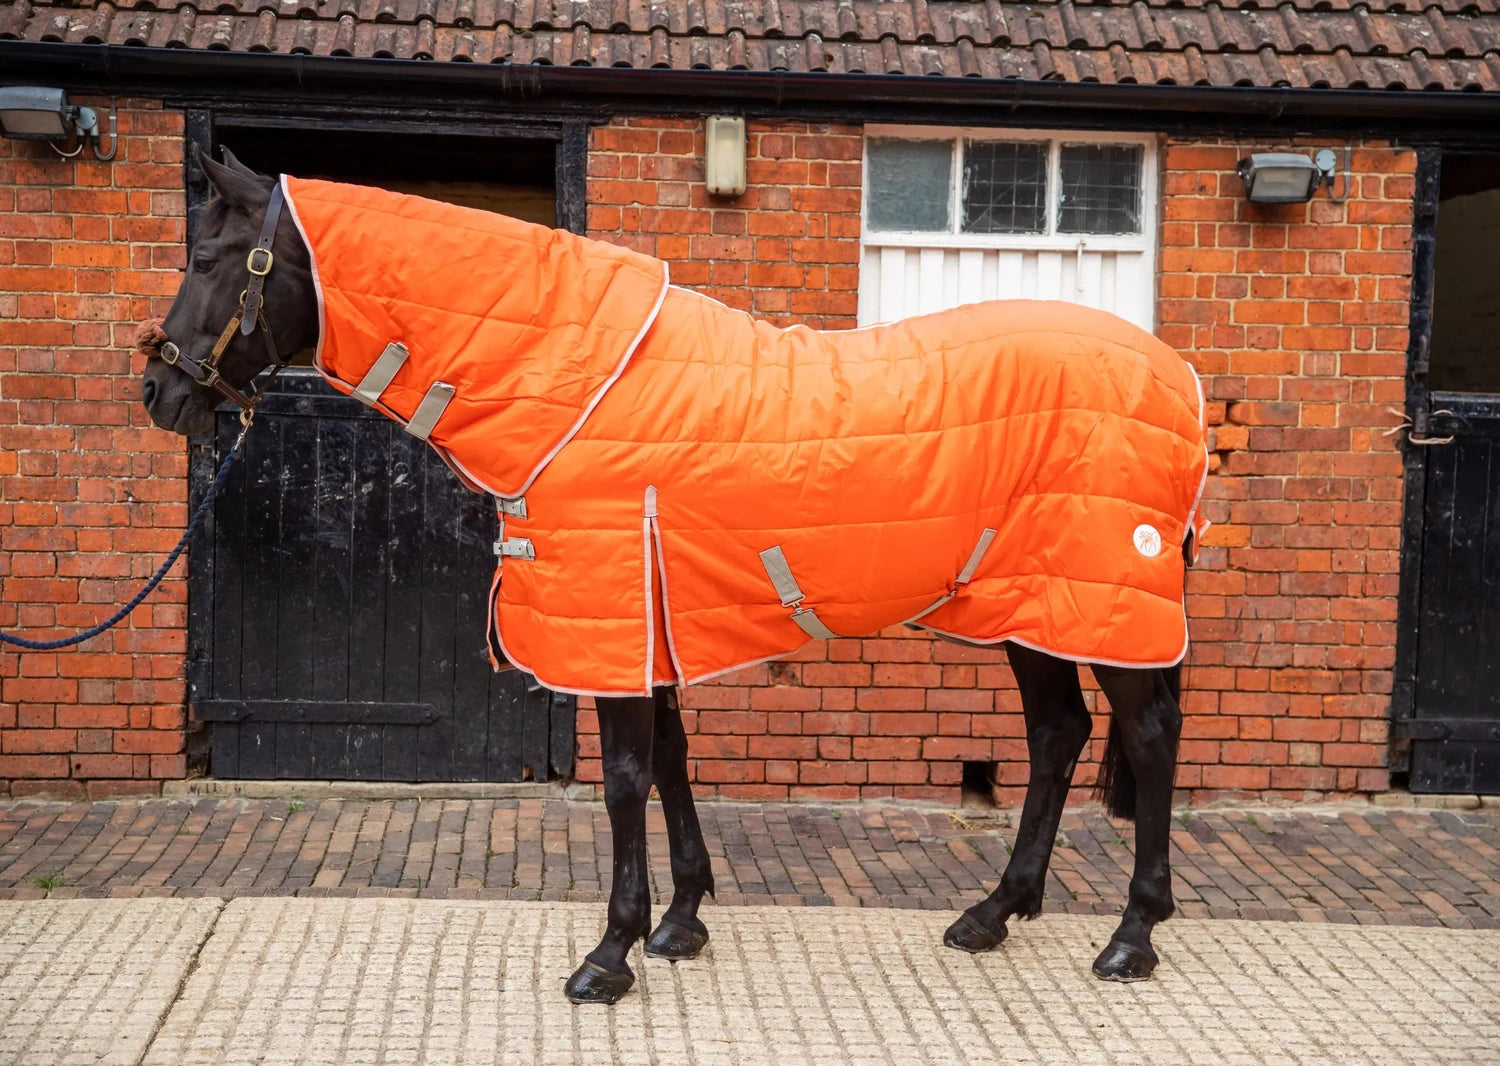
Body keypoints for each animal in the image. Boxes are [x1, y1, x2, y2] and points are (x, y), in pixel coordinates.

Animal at [139, 145, 1204, 1004]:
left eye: (208, 259)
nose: (158, 391)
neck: (575, 384)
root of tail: (1178, 379)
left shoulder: (613, 610)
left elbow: (622, 780)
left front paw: (609, 956)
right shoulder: (653, 617)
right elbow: (673, 762)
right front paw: (681, 921)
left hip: (1104, 601)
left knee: (1148, 739)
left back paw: (1132, 937)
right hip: (1039, 605)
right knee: (1060, 734)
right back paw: (993, 912)